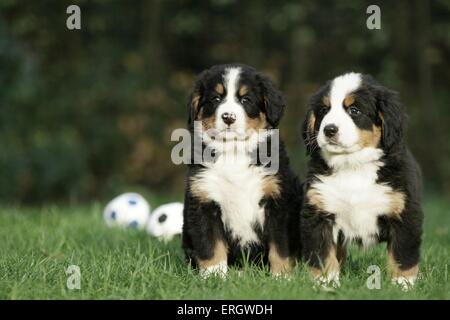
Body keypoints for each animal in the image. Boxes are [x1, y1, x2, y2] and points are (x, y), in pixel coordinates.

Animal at [183, 63, 302, 278]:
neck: (233, 151)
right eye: (216, 99)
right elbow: (211, 245)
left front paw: (281, 277)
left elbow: (280, 247)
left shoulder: (279, 203)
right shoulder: (204, 201)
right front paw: (214, 277)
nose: (228, 117)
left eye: (246, 99)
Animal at [300, 72, 424, 288]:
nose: (329, 129)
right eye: (324, 110)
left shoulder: (406, 214)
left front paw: (402, 285)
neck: (353, 165)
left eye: (354, 110)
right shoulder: (318, 213)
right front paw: (326, 284)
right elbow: (324, 255)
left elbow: (402, 256)